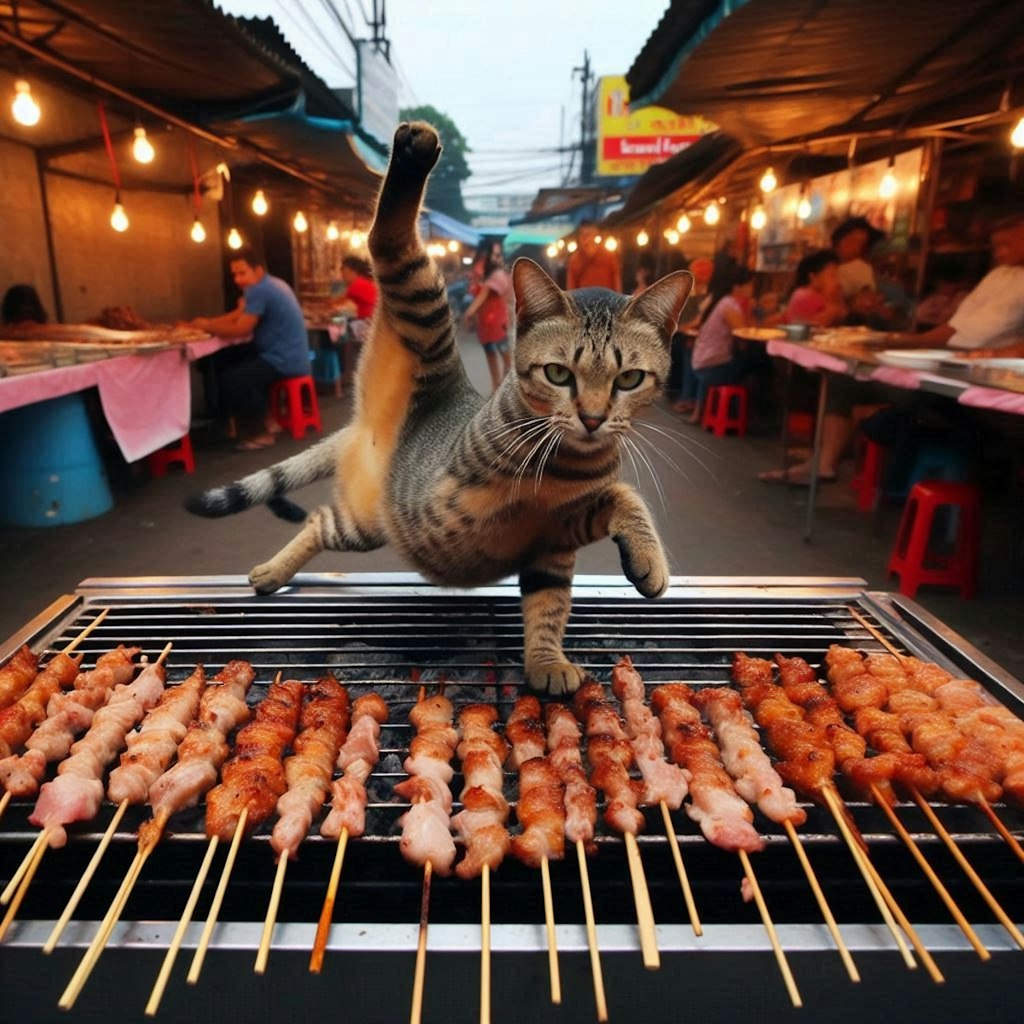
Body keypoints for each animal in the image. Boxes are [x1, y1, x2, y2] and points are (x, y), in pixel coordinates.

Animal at [188, 121, 692, 696]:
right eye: (559, 374)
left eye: (628, 379)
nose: (591, 417)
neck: (572, 461)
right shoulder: (494, 498)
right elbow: (597, 493)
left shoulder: (552, 542)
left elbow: (557, 594)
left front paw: (548, 658)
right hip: (423, 317)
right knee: (388, 241)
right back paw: (415, 153)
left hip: (368, 521)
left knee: (320, 518)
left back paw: (275, 571)